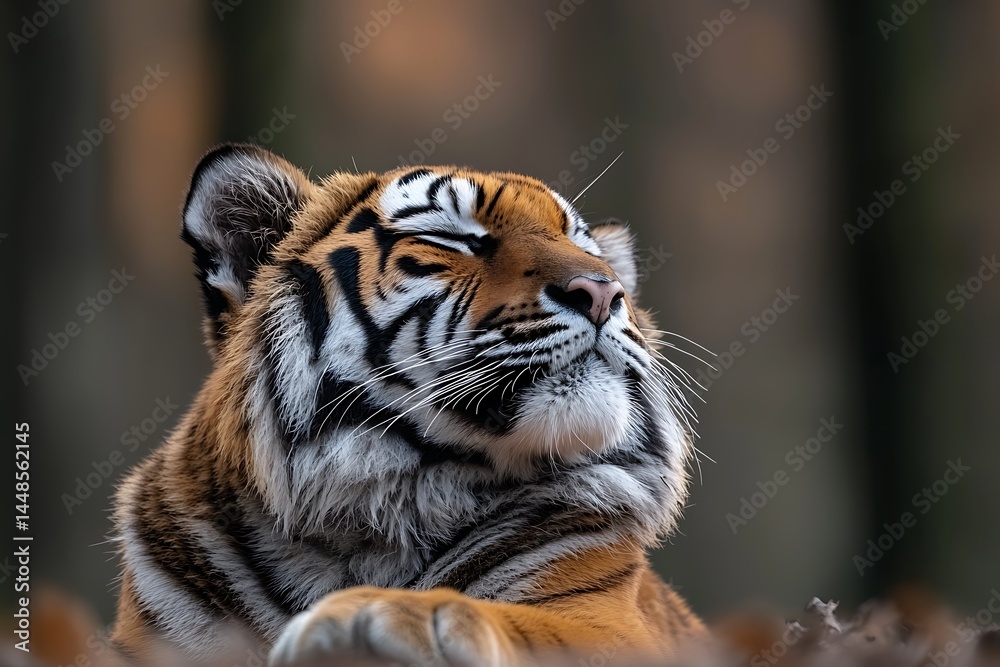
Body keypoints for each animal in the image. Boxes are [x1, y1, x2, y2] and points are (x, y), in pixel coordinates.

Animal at [110, 143, 706, 666]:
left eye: (589, 250)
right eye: (453, 239)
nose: (603, 291)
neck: (366, 521)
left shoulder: (608, 621)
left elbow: (537, 627)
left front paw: (379, 613)